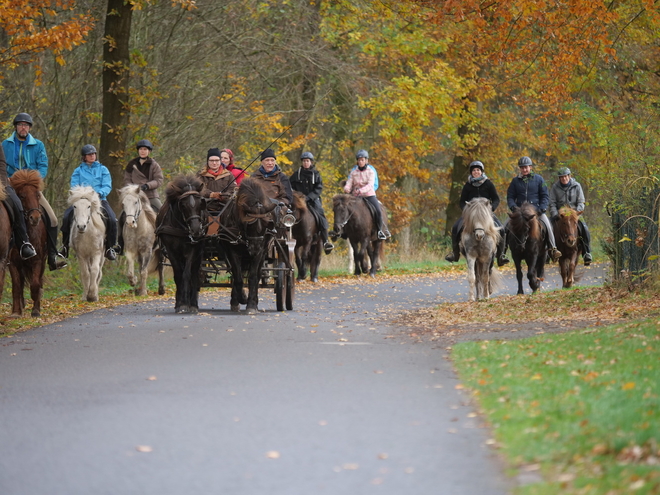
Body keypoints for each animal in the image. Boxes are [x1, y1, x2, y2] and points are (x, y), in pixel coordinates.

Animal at [7, 170, 47, 318]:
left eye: (37, 195)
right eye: (22, 196)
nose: (35, 218)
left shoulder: (38, 260)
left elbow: (35, 284)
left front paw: (36, 310)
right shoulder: (13, 263)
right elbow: (16, 286)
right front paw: (16, 312)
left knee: (38, 281)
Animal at [156, 175, 208, 314]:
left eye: (201, 203)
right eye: (183, 205)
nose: (196, 230)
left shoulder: (192, 250)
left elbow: (187, 274)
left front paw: (187, 304)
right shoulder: (171, 251)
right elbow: (178, 274)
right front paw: (180, 304)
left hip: (199, 252)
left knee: (194, 274)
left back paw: (193, 303)